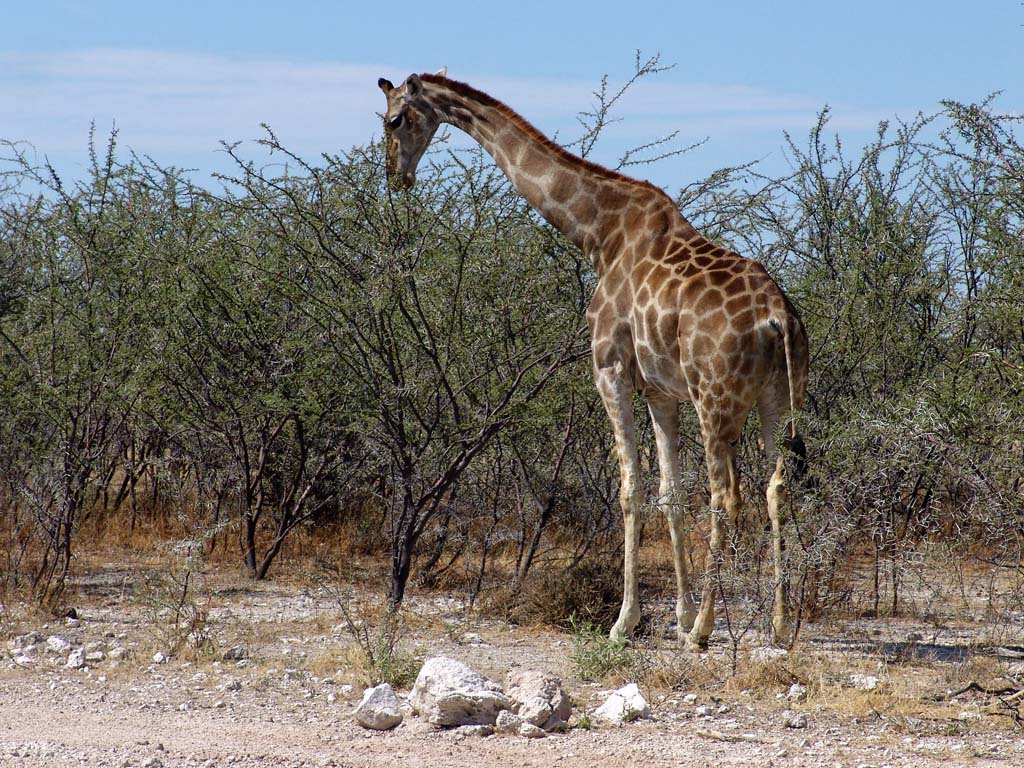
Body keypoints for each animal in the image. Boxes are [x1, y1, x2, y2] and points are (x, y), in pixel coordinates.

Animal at [376, 72, 806, 651]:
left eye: (394, 119)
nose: (395, 176)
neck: (598, 234)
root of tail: (776, 315)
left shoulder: (609, 368)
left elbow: (630, 490)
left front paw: (626, 622)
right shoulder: (661, 390)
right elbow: (670, 493)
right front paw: (675, 613)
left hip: (716, 397)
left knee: (726, 494)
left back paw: (705, 628)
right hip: (778, 396)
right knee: (776, 487)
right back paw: (779, 626)